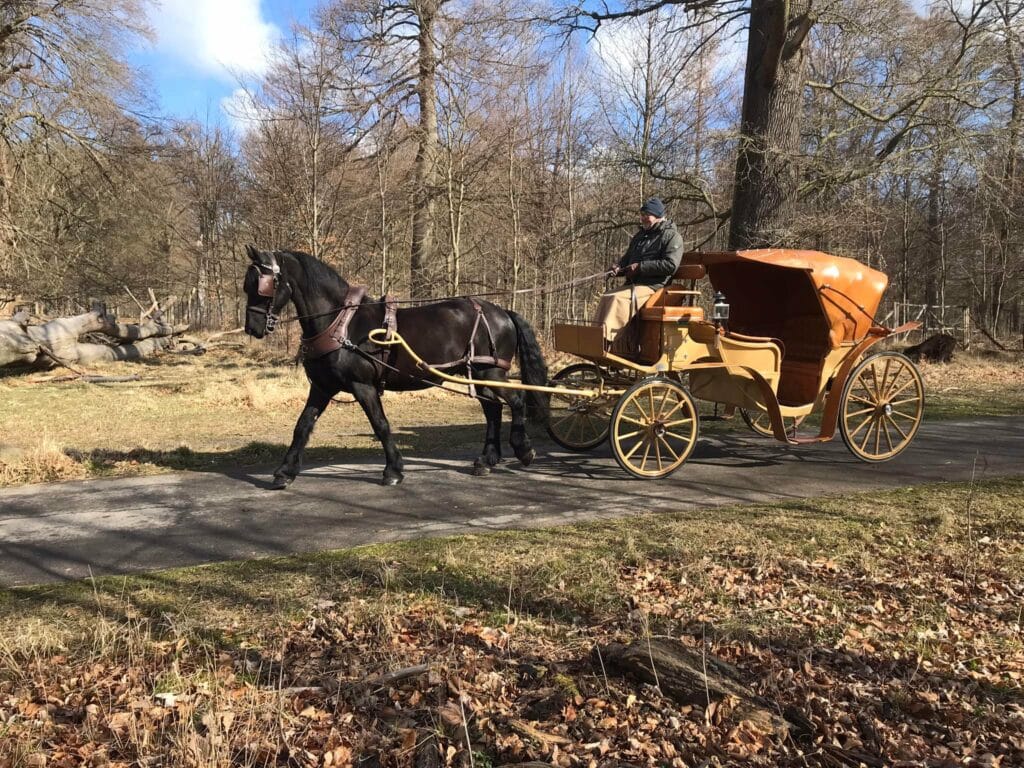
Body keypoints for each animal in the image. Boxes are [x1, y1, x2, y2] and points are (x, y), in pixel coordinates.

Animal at [242, 246, 548, 487]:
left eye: (263, 286)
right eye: (248, 285)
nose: (252, 328)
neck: (340, 324)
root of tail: (501, 311)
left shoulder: (362, 386)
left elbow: (380, 424)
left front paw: (393, 470)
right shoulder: (322, 387)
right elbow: (302, 426)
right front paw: (285, 472)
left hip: (491, 371)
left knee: (516, 400)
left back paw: (523, 449)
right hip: (478, 374)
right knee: (492, 409)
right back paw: (486, 460)